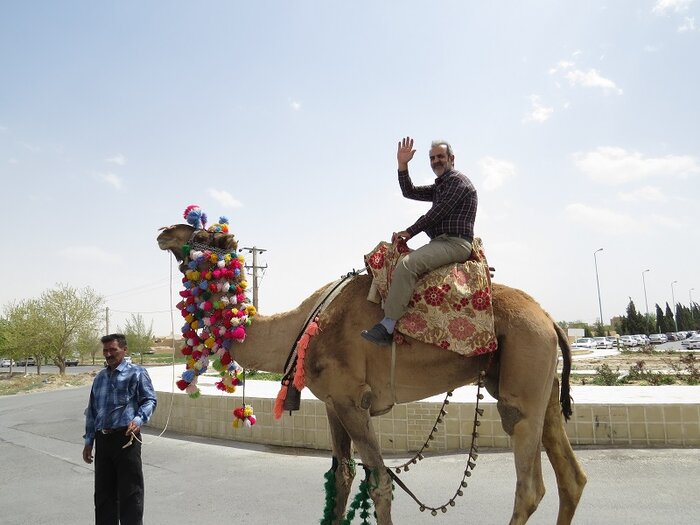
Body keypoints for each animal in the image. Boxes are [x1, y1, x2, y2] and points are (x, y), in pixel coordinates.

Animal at [157, 222, 584, 524]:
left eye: (205, 234)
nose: (164, 232)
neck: (302, 327)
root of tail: (550, 319)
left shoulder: (352, 401)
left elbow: (379, 483)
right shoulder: (332, 404)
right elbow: (340, 477)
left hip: (524, 374)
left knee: (530, 487)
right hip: (539, 386)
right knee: (572, 478)